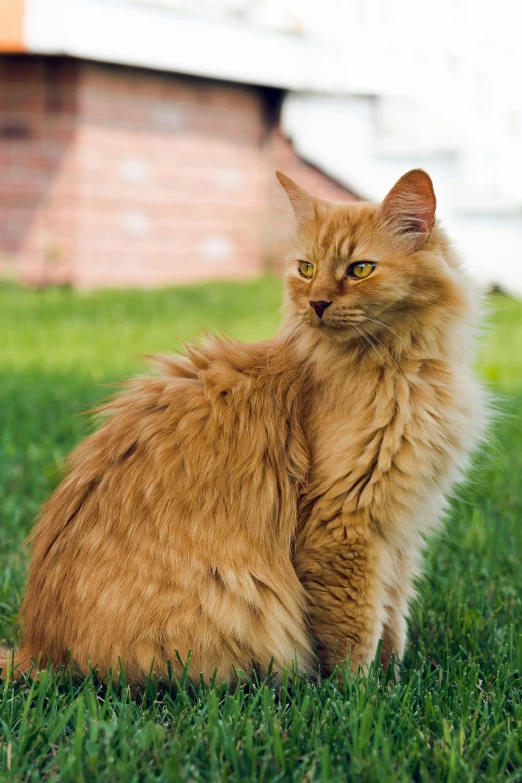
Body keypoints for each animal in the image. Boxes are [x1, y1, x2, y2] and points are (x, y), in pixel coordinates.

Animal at [0, 168, 484, 684]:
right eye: (306, 268)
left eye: (360, 270)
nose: (316, 303)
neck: (406, 368)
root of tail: (40, 649)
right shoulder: (346, 521)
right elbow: (356, 633)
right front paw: (361, 690)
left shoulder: (401, 529)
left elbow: (393, 615)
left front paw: (393, 676)